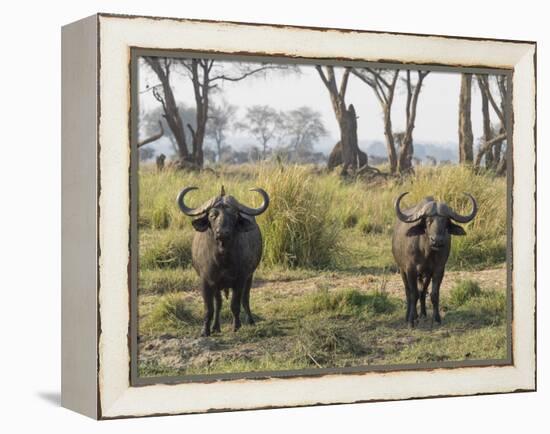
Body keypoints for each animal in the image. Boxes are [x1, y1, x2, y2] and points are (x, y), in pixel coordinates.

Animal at [178, 185, 270, 338]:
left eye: (233, 215)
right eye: (212, 215)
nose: (222, 233)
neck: (222, 258)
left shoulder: (240, 279)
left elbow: (235, 304)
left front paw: (236, 326)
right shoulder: (206, 281)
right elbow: (209, 308)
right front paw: (205, 330)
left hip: (250, 277)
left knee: (246, 299)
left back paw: (250, 321)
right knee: (219, 303)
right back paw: (216, 327)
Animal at [392, 192, 478, 328]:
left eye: (445, 221)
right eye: (428, 221)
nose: (437, 241)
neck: (426, 251)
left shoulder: (438, 270)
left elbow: (434, 294)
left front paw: (436, 318)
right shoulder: (410, 270)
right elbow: (413, 294)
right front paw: (411, 320)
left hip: (425, 274)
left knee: (422, 291)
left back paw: (422, 314)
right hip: (401, 270)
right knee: (408, 292)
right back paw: (411, 315)